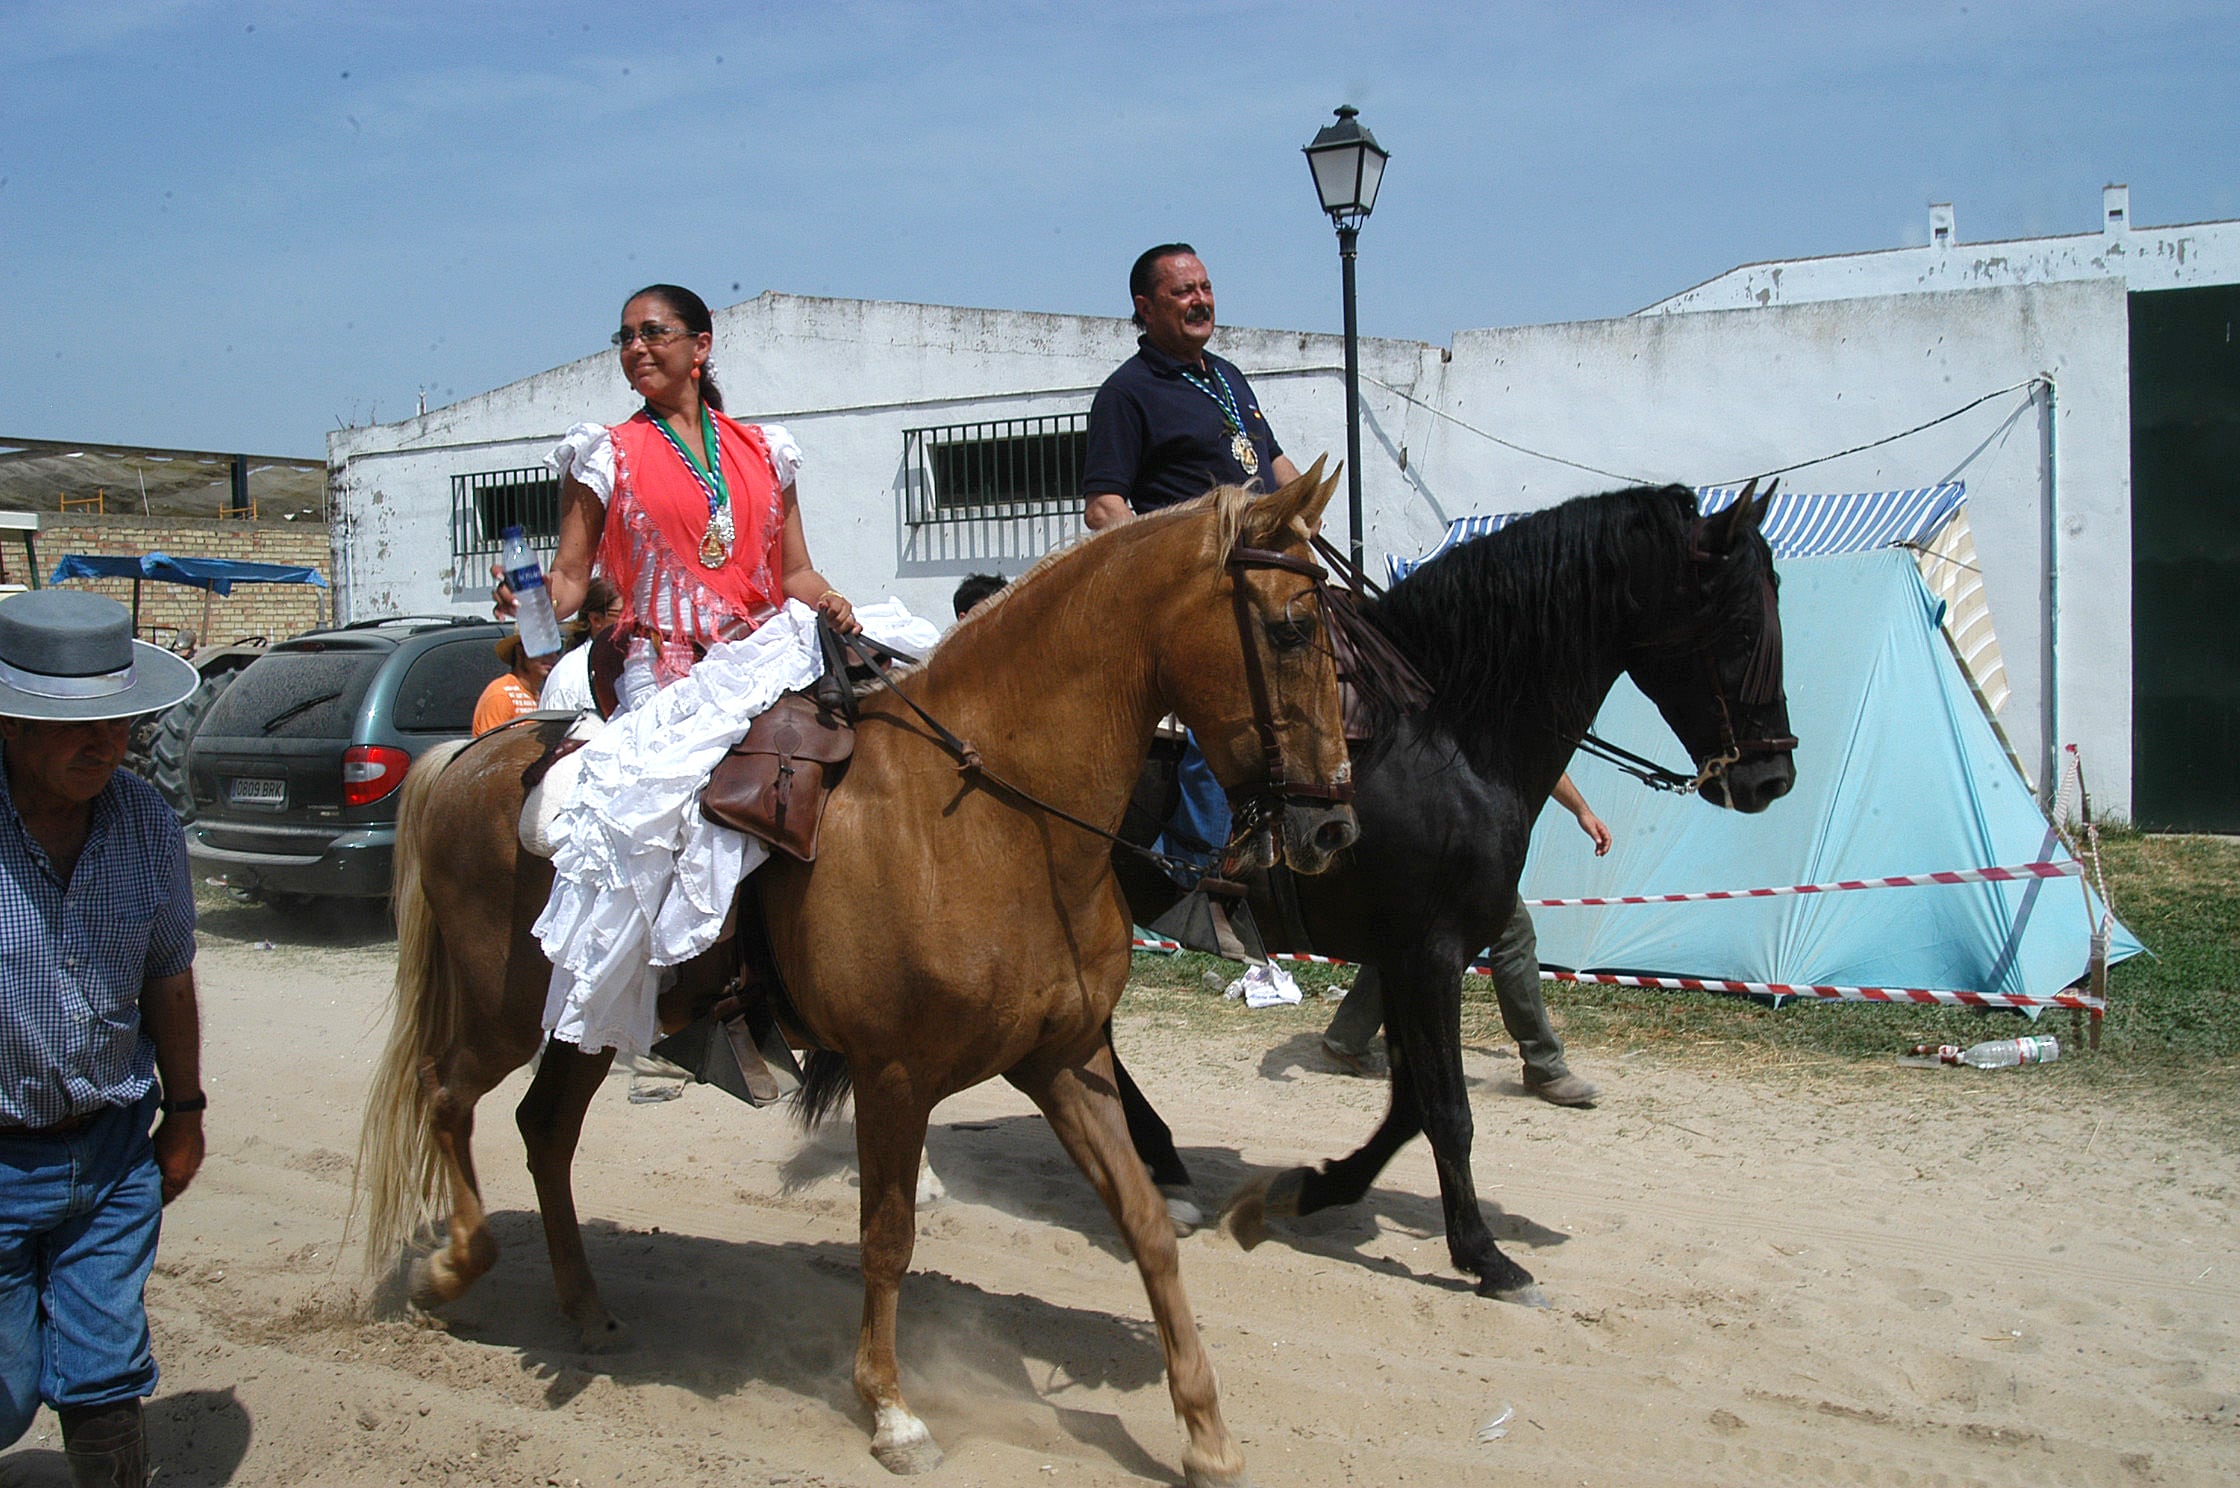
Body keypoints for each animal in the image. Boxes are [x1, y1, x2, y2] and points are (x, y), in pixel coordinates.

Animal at [358, 461, 1352, 1479]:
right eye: (1291, 627)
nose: (1330, 828)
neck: (986, 818)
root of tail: (467, 757)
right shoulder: (893, 1077)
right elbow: (887, 1239)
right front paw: (891, 1411)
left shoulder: (1066, 1060)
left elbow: (1146, 1223)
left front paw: (1205, 1432)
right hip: (501, 1013)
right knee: (445, 1095)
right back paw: (450, 1270)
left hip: (592, 1016)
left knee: (544, 1130)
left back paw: (587, 1309)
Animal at [1111, 481, 1792, 1299]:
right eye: (1740, 624)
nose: (1772, 776)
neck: (1448, 734)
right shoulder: (1429, 955)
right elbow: (1448, 1110)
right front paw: (1485, 1254)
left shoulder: (1416, 954)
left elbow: (1412, 1106)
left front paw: (1313, 1188)